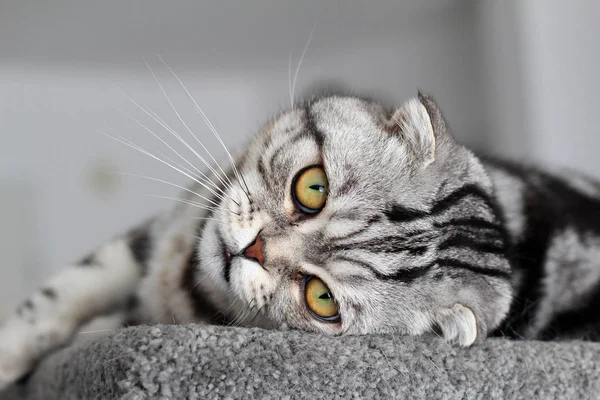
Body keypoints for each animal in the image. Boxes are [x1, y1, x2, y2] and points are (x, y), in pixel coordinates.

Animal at [1, 92, 600, 390]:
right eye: (313, 187)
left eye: (322, 299)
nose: (252, 250)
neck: (181, 279)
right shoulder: (161, 231)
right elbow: (66, 291)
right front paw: (11, 352)